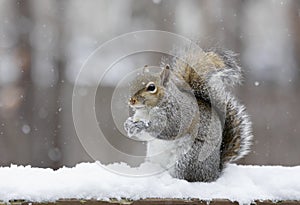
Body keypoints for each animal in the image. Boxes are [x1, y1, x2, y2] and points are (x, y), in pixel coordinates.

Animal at [124, 46, 253, 183]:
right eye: (135, 81)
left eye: (151, 87)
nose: (131, 101)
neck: (148, 110)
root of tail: (214, 173)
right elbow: (144, 135)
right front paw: (128, 124)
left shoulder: (178, 116)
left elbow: (169, 130)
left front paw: (142, 125)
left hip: (189, 158)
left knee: (185, 176)